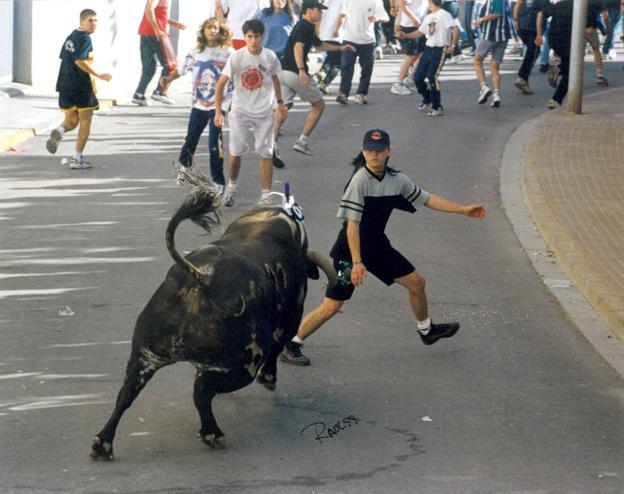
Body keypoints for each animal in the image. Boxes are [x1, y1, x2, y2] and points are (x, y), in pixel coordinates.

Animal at [90, 187, 336, 462]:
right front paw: (269, 379)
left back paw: (102, 444)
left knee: (126, 394)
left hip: (144, 355)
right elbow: (277, 348)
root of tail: (199, 276)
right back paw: (213, 434)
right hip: (243, 365)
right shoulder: (290, 319)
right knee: (201, 391)